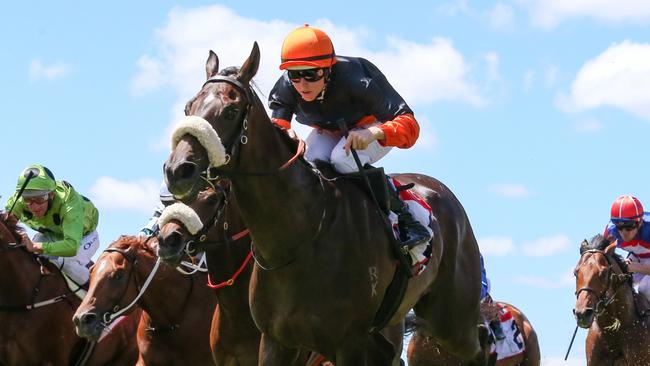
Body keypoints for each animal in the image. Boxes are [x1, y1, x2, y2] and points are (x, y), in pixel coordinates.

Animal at [161, 44, 486, 364]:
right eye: (188, 107)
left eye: (230, 110)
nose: (178, 170)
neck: (298, 236)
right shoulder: (276, 341)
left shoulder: (348, 343)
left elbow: (405, 119)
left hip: (451, 318)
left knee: (481, 343)